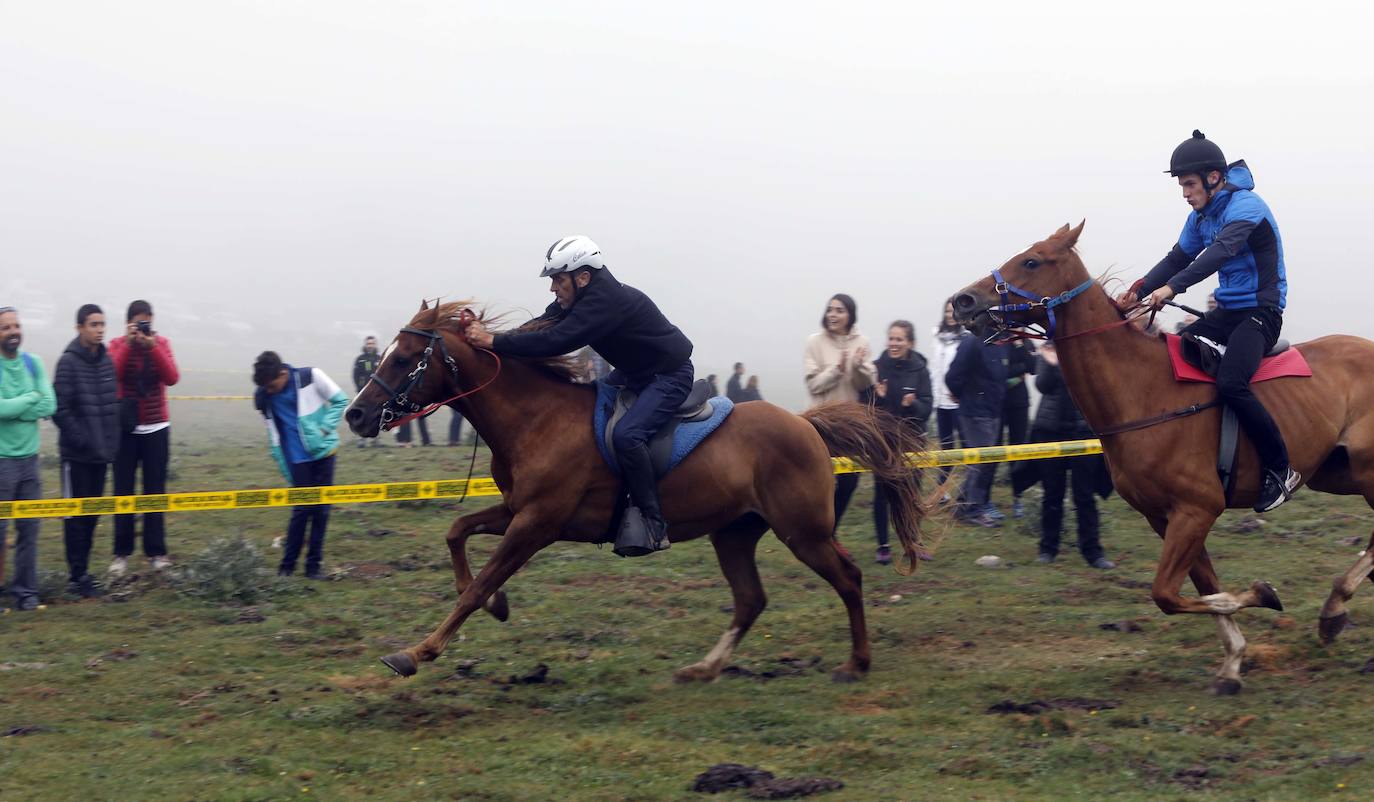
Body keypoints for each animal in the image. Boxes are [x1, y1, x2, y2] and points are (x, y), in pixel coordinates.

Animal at [343, 300, 928, 683]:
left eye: (403, 358)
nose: (355, 415)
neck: (536, 418)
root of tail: (806, 425)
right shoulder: (517, 511)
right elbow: (456, 532)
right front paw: (498, 605)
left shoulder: (536, 524)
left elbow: (474, 585)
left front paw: (418, 651)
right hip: (734, 532)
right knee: (750, 599)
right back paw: (706, 667)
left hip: (803, 531)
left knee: (847, 579)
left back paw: (856, 662)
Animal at [950, 222, 1374, 692]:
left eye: (1031, 261)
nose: (963, 301)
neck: (1143, 393)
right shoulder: (1165, 516)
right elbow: (1201, 588)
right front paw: (1232, 661)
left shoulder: (1196, 509)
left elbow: (1168, 595)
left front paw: (1261, 596)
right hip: (1334, 472)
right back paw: (1334, 608)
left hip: (1367, 469)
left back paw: (1335, 606)